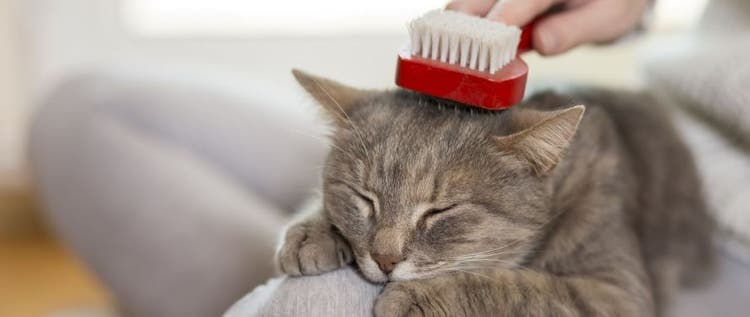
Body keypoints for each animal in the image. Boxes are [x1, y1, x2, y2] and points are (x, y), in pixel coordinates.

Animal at [276, 69, 716, 316]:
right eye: (364, 198)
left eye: (440, 211)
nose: (385, 260)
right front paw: (312, 231)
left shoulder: (616, 295)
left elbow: (517, 286)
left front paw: (416, 297)